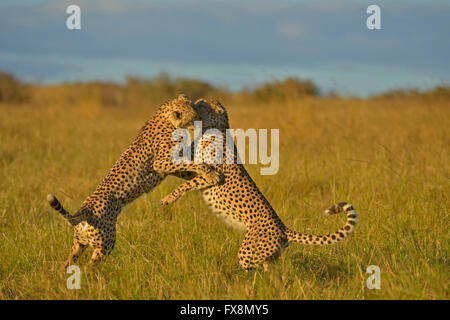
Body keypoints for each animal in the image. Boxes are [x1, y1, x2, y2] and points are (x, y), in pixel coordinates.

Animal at [46, 95, 221, 268]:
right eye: (195, 117)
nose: (200, 122)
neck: (167, 118)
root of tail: (83, 212)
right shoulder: (162, 162)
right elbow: (193, 164)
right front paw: (212, 175)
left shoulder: (167, 166)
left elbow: (188, 171)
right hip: (106, 243)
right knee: (90, 266)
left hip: (80, 244)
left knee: (67, 262)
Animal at [162, 99, 358, 270]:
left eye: (202, 104)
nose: (195, 103)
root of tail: (283, 227)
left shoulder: (212, 175)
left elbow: (186, 184)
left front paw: (168, 198)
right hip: (267, 255)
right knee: (271, 273)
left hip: (248, 250)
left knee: (251, 269)